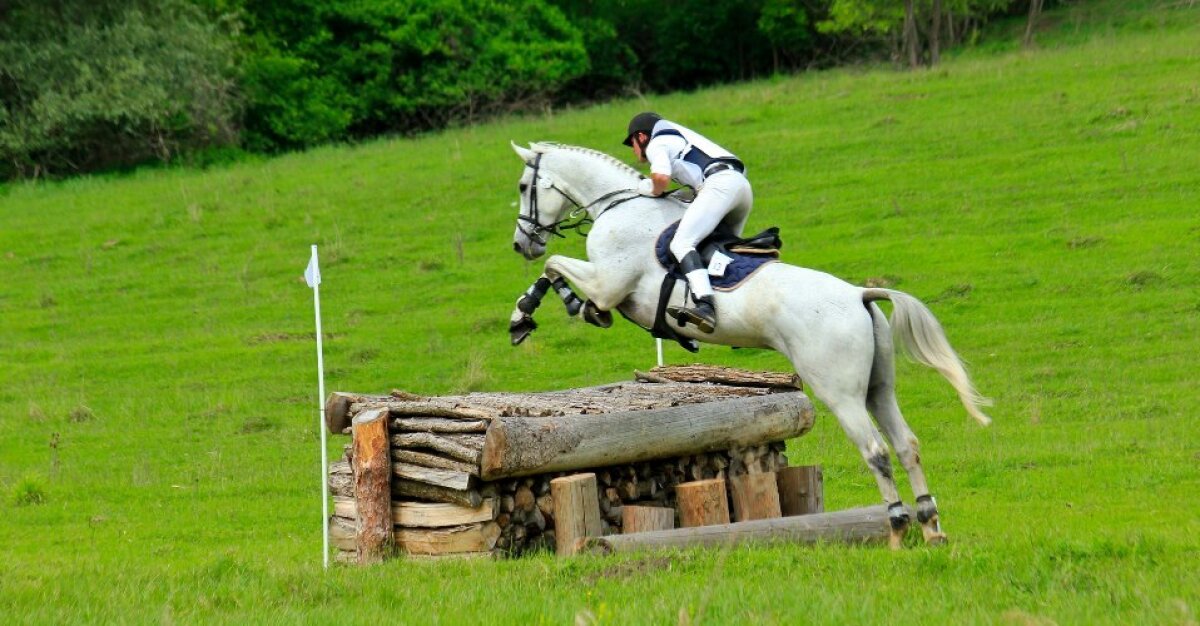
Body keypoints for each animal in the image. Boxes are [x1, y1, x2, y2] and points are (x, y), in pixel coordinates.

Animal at [507, 141, 991, 547]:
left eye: (524, 186)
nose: (521, 243)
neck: (618, 204)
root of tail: (860, 295)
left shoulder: (608, 284)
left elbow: (556, 266)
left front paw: (531, 312)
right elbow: (554, 269)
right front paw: (537, 312)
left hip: (840, 392)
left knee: (876, 452)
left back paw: (896, 529)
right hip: (878, 388)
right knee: (907, 445)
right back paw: (931, 528)